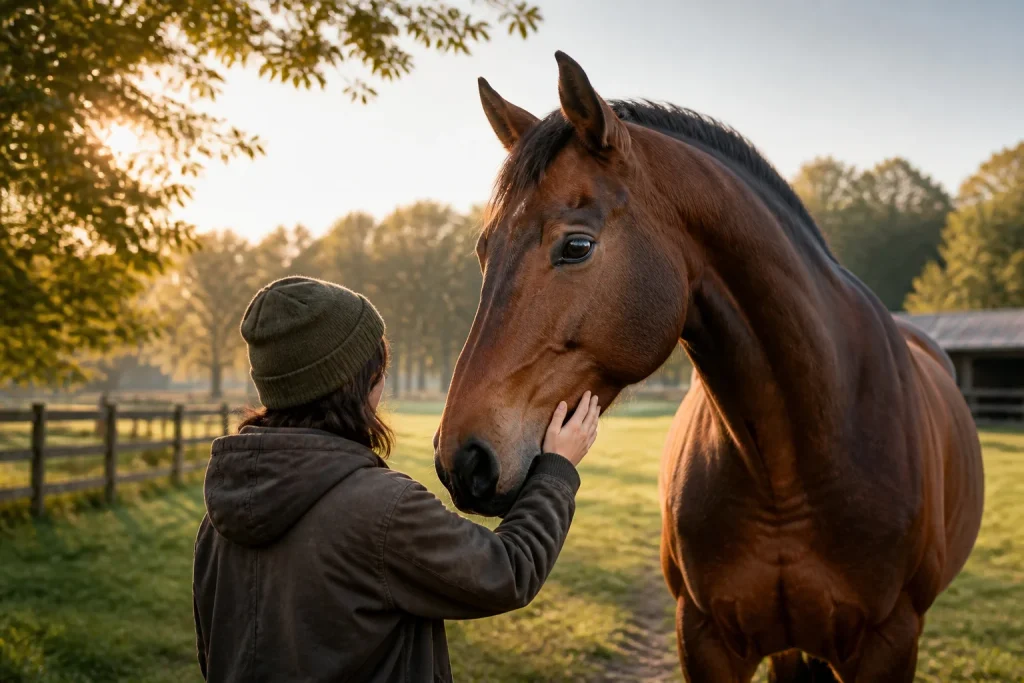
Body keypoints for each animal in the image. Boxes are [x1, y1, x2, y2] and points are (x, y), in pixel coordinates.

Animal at [433, 51, 985, 682]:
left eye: (576, 246)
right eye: (484, 250)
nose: (461, 459)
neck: (791, 465)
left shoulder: (888, 644)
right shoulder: (704, 636)